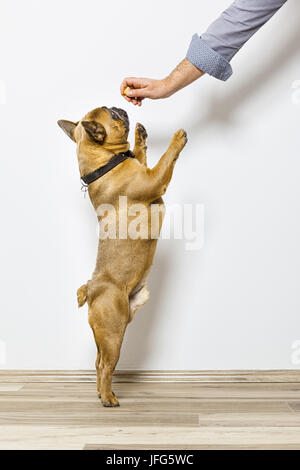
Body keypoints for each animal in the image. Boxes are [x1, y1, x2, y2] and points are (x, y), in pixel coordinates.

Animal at [57, 107, 186, 408]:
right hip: (113, 331)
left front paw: (140, 137)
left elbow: (142, 154)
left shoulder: (145, 170)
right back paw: (108, 398)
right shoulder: (154, 180)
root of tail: (91, 288)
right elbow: (165, 160)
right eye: (112, 116)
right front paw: (176, 138)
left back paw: (103, 393)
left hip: (115, 326)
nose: (121, 108)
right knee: (106, 364)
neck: (105, 163)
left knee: (97, 362)